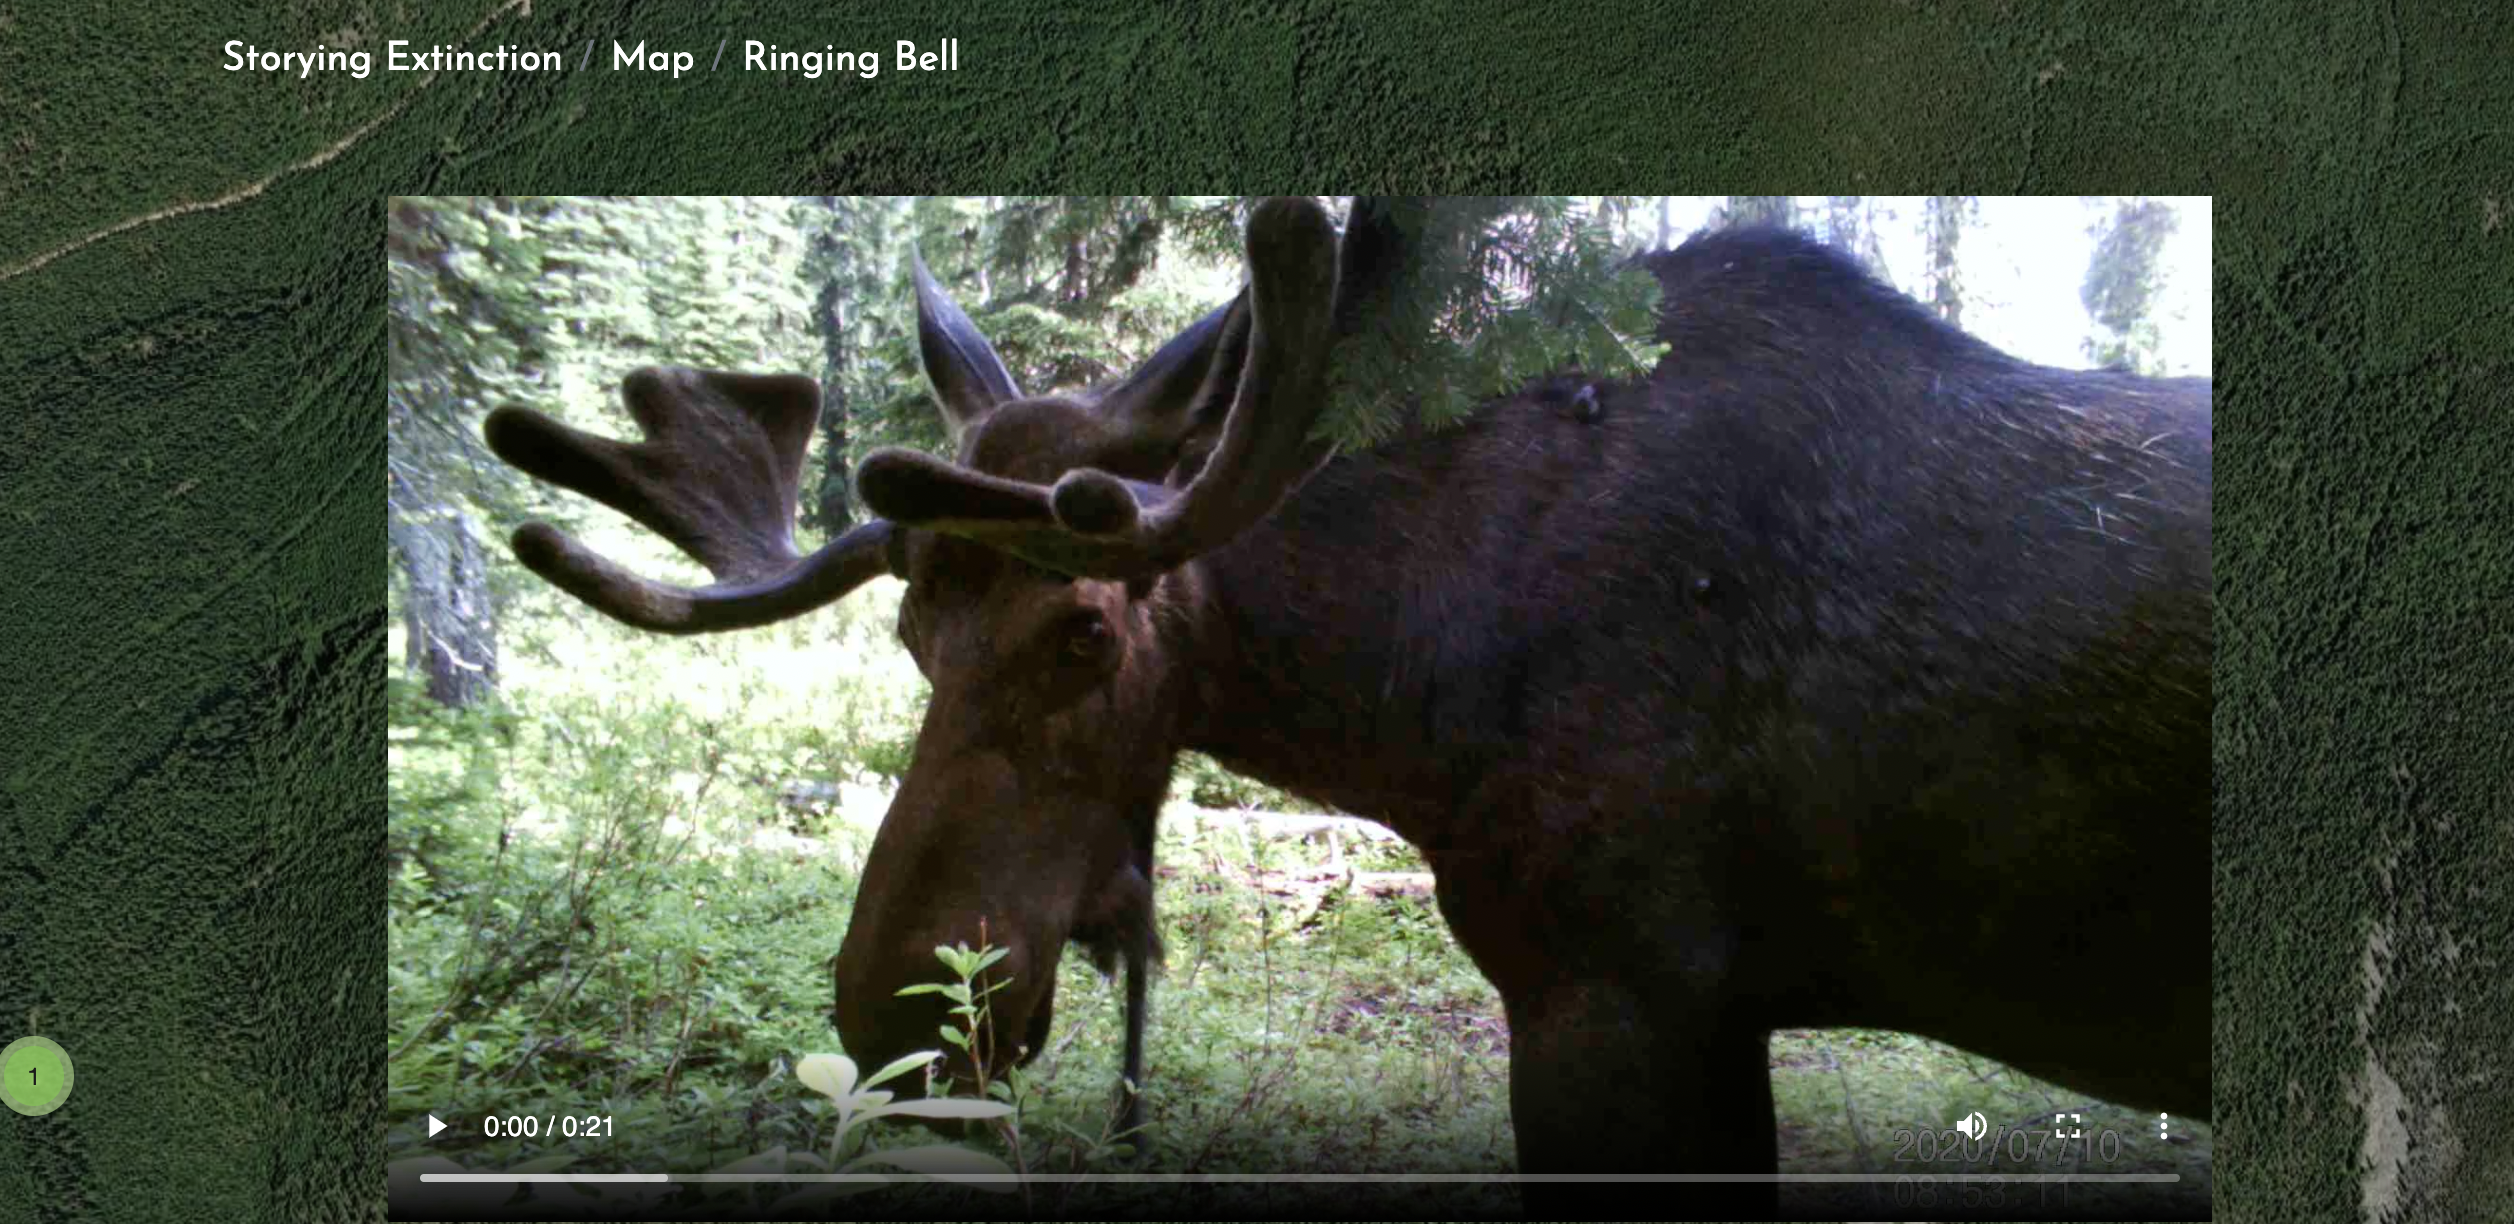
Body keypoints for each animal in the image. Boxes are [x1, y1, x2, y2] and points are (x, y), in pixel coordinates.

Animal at [480, 196, 2212, 1211]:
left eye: (1084, 634)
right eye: (910, 631)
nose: (897, 1008)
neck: (1419, 700)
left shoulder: (1617, 986)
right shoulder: (1706, 1007)